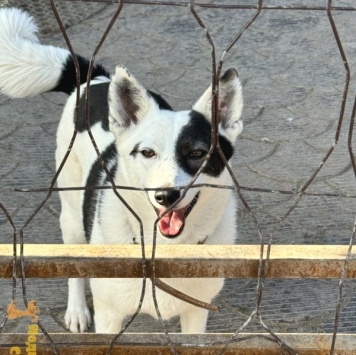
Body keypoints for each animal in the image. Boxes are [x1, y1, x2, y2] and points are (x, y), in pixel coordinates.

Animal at [0, 9, 242, 336]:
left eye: (197, 154)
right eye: (147, 153)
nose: (166, 196)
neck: (163, 249)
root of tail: (97, 79)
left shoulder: (196, 312)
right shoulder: (109, 315)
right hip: (72, 217)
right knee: (75, 266)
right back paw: (76, 311)